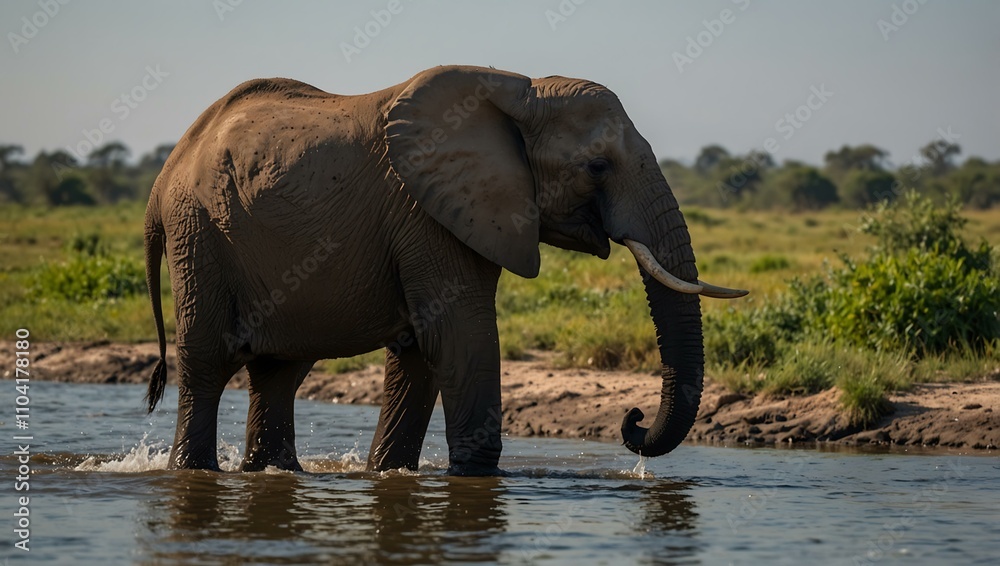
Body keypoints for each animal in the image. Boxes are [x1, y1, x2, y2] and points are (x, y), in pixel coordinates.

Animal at [143, 65, 746, 475]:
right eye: (597, 166)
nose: (633, 419)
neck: (519, 91)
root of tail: (163, 175)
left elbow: (423, 350)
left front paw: (388, 474)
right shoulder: (427, 212)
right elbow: (459, 336)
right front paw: (474, 477)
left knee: (279, 372)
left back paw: (271, 472)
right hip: (199, 235)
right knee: (207, 363)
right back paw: (193, 471)